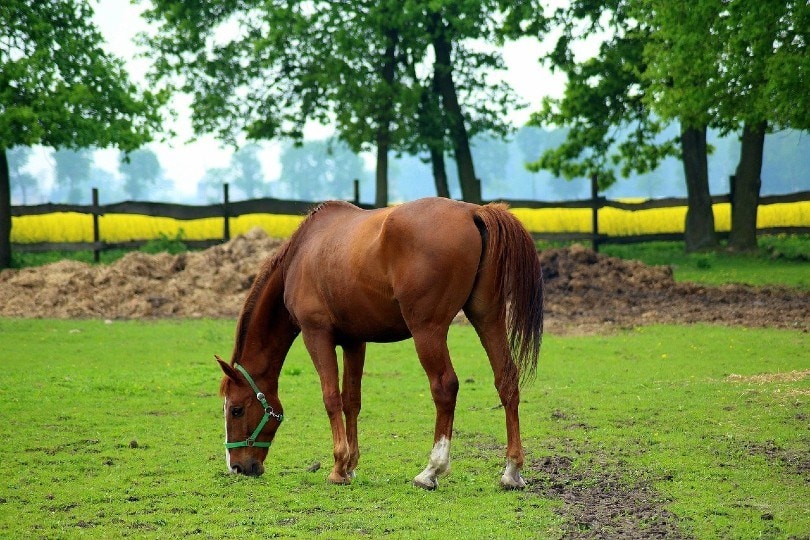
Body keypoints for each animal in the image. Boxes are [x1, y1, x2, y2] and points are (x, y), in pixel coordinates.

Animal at [216, 196, 544, 489]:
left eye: (236, 410)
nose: (237, 467)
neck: (302, 255)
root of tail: (473, 212)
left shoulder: (316, 334)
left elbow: (331, 398)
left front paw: (338, 467)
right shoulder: (354, 341)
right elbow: (351, 400)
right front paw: (349, 466)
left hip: (428, 330)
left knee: (445, 387)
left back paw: (431, 470)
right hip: (487, 318)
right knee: (506, 380)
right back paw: (512, 471)